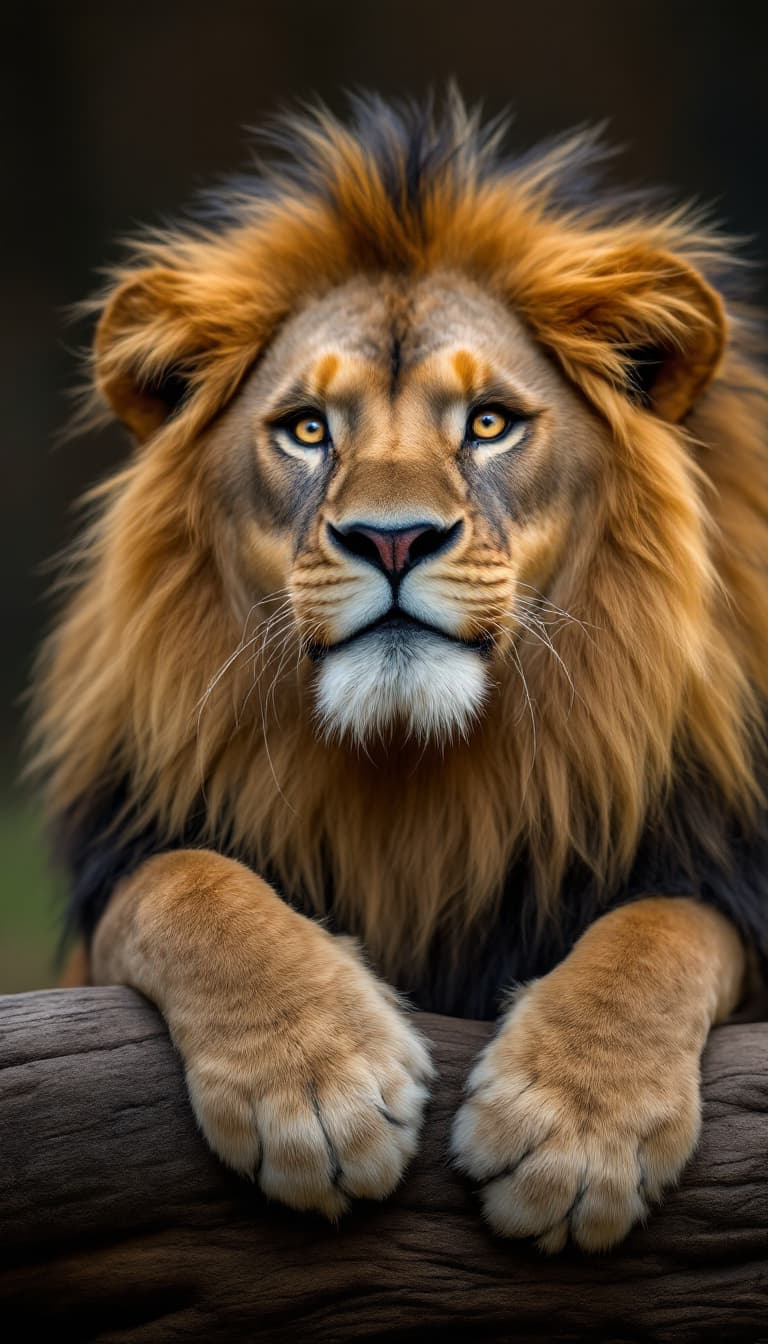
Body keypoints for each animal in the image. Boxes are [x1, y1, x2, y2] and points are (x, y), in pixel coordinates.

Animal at [29, 92, 768, 1253]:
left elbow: (667, 925)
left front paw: (575, 1127)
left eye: (489, 422)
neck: (416, 780)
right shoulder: (126, 873)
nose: (391, 538)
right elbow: (184, 882)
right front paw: (313, 1086)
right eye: (306, 430)